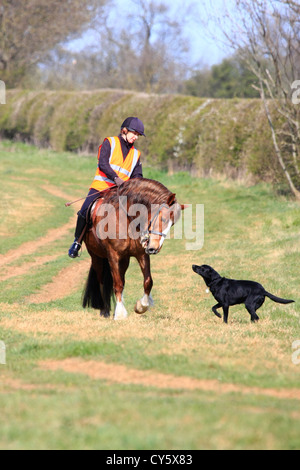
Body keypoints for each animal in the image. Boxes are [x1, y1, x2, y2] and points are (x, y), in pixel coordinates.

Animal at [82, 178, 184, 322]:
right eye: (163, 218)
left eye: (172, 224)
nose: (154, 248)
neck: (127, 219)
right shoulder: (113, 255)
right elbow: (117, 284)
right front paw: (119, 314)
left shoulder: (141, 254)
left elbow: (148, 282)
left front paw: (141, 306)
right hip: (96, 256)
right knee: (101, 279)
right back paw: (105, 310)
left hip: (124, 260)